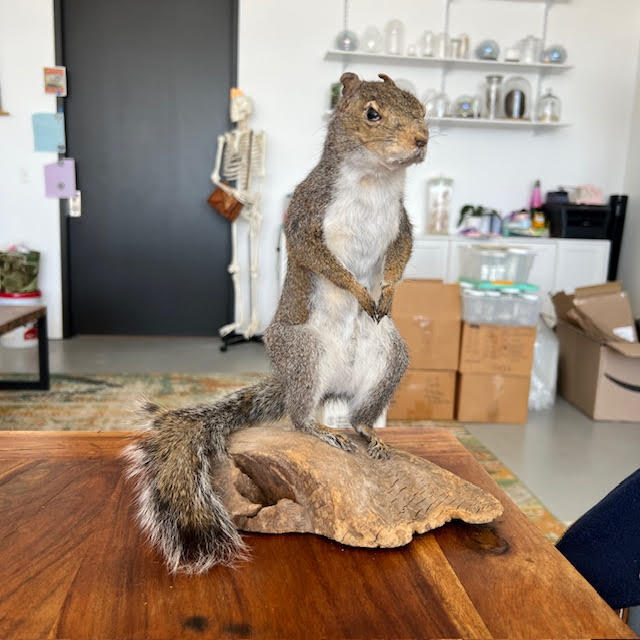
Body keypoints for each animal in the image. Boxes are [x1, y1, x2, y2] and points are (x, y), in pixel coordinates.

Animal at [123, 72, 429, 574]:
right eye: (372, 113)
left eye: (421, 107)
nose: (422, 140)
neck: (374, 180)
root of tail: (328, 387)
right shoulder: (307, 214)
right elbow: (318, 257)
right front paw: (360, 291)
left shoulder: (400, 221)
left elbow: (401, 253)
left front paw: (386, 293)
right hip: (302, 351)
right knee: (300, 416)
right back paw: (321, 430)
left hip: (389, 361)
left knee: (360, 415)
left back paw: (366, 433)